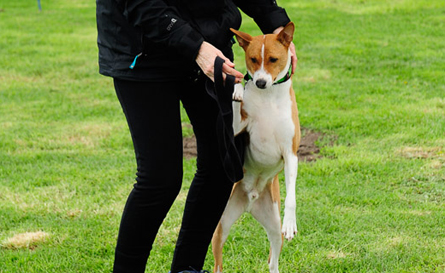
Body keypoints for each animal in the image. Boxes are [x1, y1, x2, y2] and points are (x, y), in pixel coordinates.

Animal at [211, 21, 300, 272]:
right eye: (252, 59)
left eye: (273, 59)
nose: (259, 82)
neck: (268, 97)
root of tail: (250, 200)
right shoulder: (236, 129)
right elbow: (234, 106)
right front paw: (237, 89)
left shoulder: (291, 154)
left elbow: (292, 196)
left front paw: (291, 223)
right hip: (220, 226)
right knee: (218, 263)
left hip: (274, 227)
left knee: (272, 261)